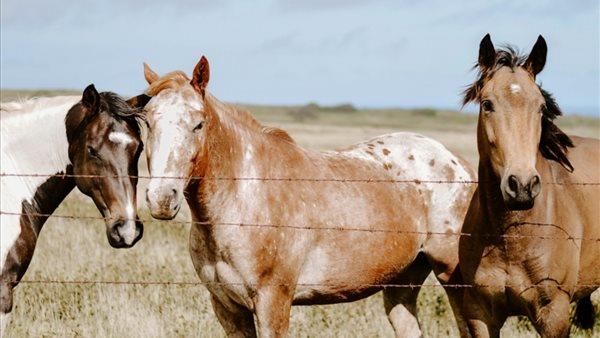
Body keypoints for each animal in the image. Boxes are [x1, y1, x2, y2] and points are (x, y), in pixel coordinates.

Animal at [142, 56, 478, 336]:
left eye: (198, 124)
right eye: (148, 122)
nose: (162, 198)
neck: (244, 199)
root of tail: (456, 161)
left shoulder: (272, 302)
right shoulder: (228, 308)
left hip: (453, 277)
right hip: (401, 282)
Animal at [460, 35, 600, 338]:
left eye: (541, 107)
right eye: (487, 104)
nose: (522, 185)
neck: (511, 238)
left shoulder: (553, 314)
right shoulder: (479, 314)